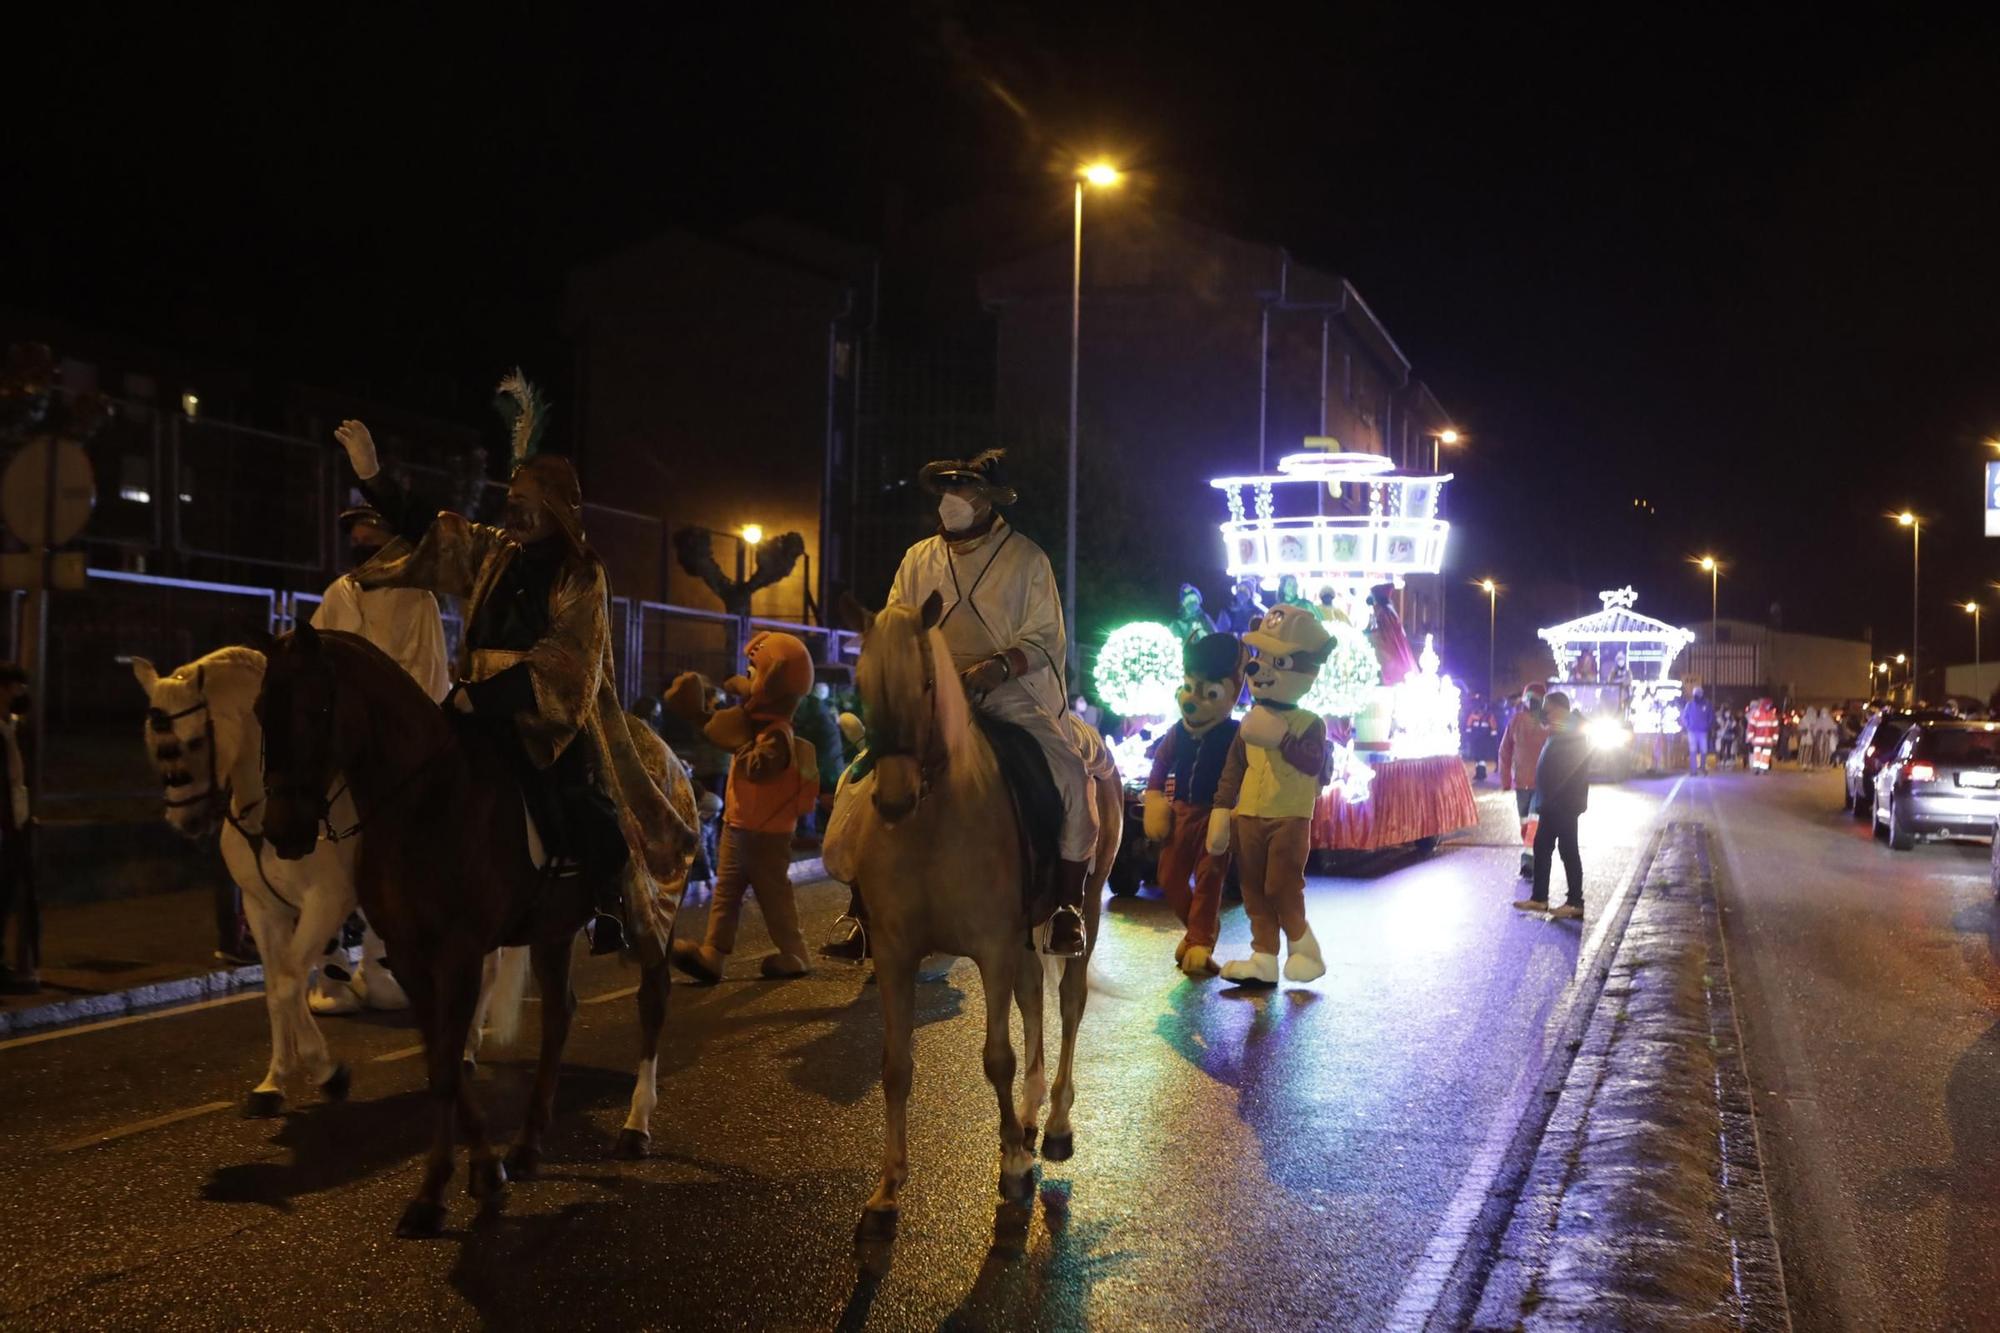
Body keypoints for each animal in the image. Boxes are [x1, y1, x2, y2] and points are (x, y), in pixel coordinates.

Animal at [138, 644, 496, 1112]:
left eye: (194, 741)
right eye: (153, 744)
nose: (185, 821)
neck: (265, 809)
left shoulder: (326, 902)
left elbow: (290, 982)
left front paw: (327, 1071)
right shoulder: (261, 907)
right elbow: (275, 986)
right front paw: (274, 1080)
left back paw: (466, 1047)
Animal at [258, 624, 696, 1232]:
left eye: (317, 707)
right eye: (260, 711)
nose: (283, 832)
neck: (427, 802)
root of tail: (665, 753)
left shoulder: (459, 952)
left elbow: (446, 1064)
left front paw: (436, 1192)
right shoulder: (412, 954)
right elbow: (440, 1059)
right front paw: (483, 1169)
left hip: (653, 904)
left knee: (652, 1000)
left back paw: (636, 1125)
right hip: (554, 928)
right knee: (559, 1015)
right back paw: (529, 1144)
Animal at [832, 592, 1128, 1232]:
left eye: (926, 683)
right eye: (860, 684)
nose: (893, 799)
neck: (933, 821)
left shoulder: (992, 947)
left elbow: (997, 1057)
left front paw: (1014, 1167)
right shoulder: (894, 954)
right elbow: (895, 1066)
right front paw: (888, 1188)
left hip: (1085, 909)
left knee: (1068, 1002)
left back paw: (1055, 1125)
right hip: (1023, 934)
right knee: (1033, 996)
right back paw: (1029, 1115)